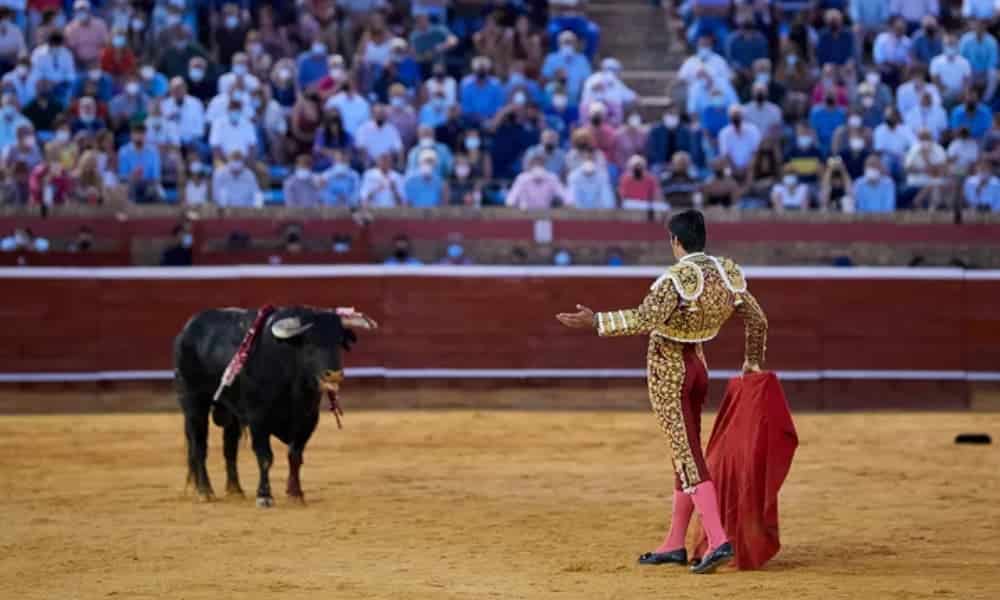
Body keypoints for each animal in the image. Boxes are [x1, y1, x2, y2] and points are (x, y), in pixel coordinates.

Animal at [174, 304, 376, 506]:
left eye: (339, 343)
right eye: (310, 344)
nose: (333, 375)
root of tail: (187, 330)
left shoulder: (308, 419)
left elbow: (295, 455)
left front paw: (295, 494)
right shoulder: (258, 419)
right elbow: (265, 457)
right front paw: (264, 496)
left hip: (231, 414)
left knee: (229, 449)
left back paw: (235, 490)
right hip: (194, 403)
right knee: (199, 446)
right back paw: (205, 491)